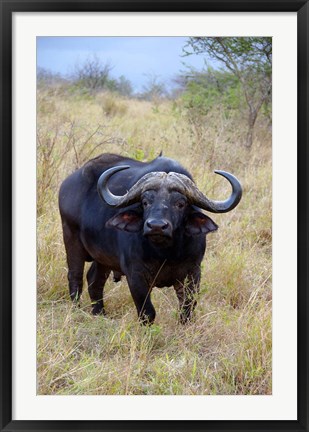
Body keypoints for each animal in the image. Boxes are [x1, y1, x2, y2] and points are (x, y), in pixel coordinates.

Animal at [58, 154, 241, 322]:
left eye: (180, 204)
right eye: (145, 202)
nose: (156, 226)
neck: (166, 253)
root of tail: (68, 184)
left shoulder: (193, 272)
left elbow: (187, 309)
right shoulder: (135, 275)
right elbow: (147, 312)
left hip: (103, 258)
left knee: (94, 280)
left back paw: (100, 314)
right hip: (71, 238)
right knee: (75, 278)